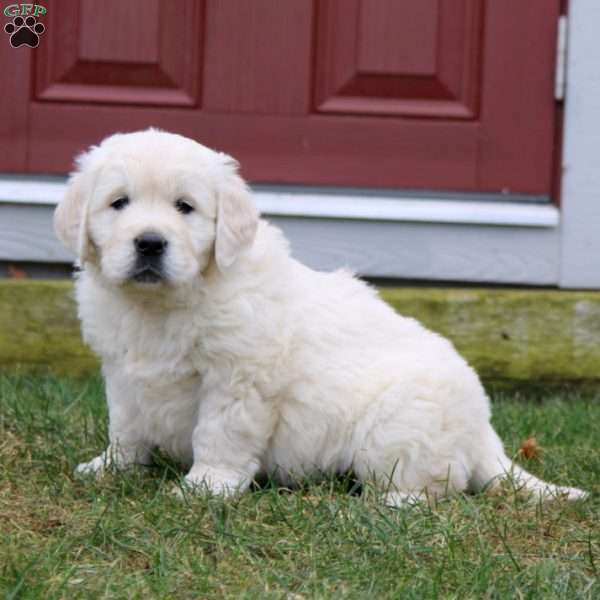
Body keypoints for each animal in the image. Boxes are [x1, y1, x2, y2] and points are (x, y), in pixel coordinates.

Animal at [54, 131, 588, 506]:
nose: (149, 242)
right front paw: (111, 467)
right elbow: (125, 426)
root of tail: (484, 433)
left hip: (398, 427)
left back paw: (388, 505)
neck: (161, 305)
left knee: (435, 487)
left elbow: (219, 435)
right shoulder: (123, 372)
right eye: (118, 202)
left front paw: (206, 488)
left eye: (185, 207)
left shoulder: (237, 378)